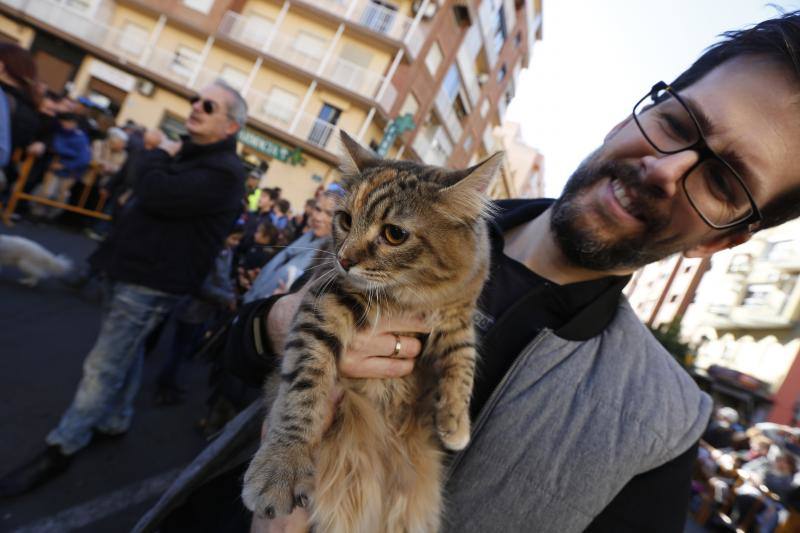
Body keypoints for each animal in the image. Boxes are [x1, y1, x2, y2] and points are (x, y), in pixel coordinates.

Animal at [241, 130, 500, 532]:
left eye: (394, 234)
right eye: (345, 220)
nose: (344, 259)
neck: (414, 294)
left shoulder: (459, 315)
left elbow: (463, 363)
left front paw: (455, 420)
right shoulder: (325, 302)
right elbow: (303, 389)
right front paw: (282, 464)